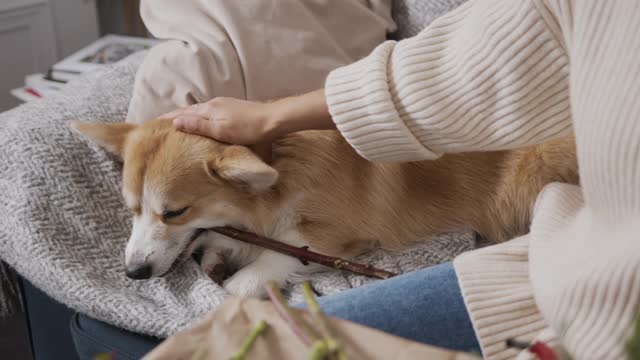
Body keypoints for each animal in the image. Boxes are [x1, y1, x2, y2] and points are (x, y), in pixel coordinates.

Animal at [72, 119, 576, 296]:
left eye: (174, 212)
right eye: (133, 210)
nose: (133, 273)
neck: (279, 169)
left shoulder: (332, 234)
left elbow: (274, 260)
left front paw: (239, 283)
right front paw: (218, 256)